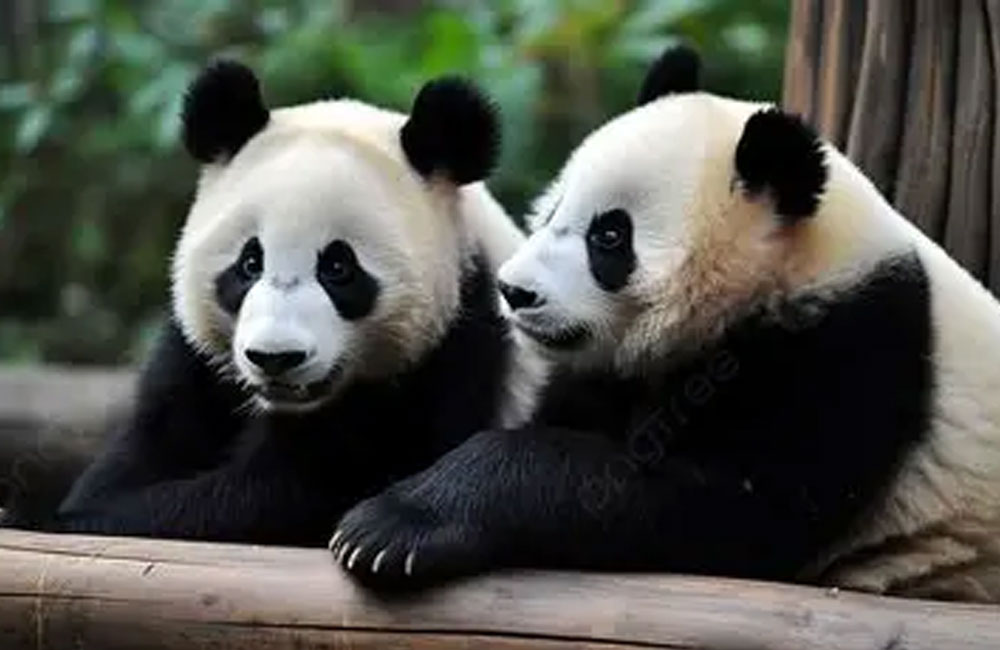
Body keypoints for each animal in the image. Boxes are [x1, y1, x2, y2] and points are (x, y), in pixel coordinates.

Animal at [11, 60, 539, 544]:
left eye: (338, 268)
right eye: (250, 263)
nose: (275, 358)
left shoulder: (449, 365)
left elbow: (281, 497)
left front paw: (48, 514)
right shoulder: (196, 365)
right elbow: (142, 450)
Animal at [330, 46, 1000, 602]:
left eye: (609, 236)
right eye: (552, 209)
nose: (515, 292)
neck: (791, 265)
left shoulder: (853, 344)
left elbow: (733, 509)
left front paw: (391, 529)